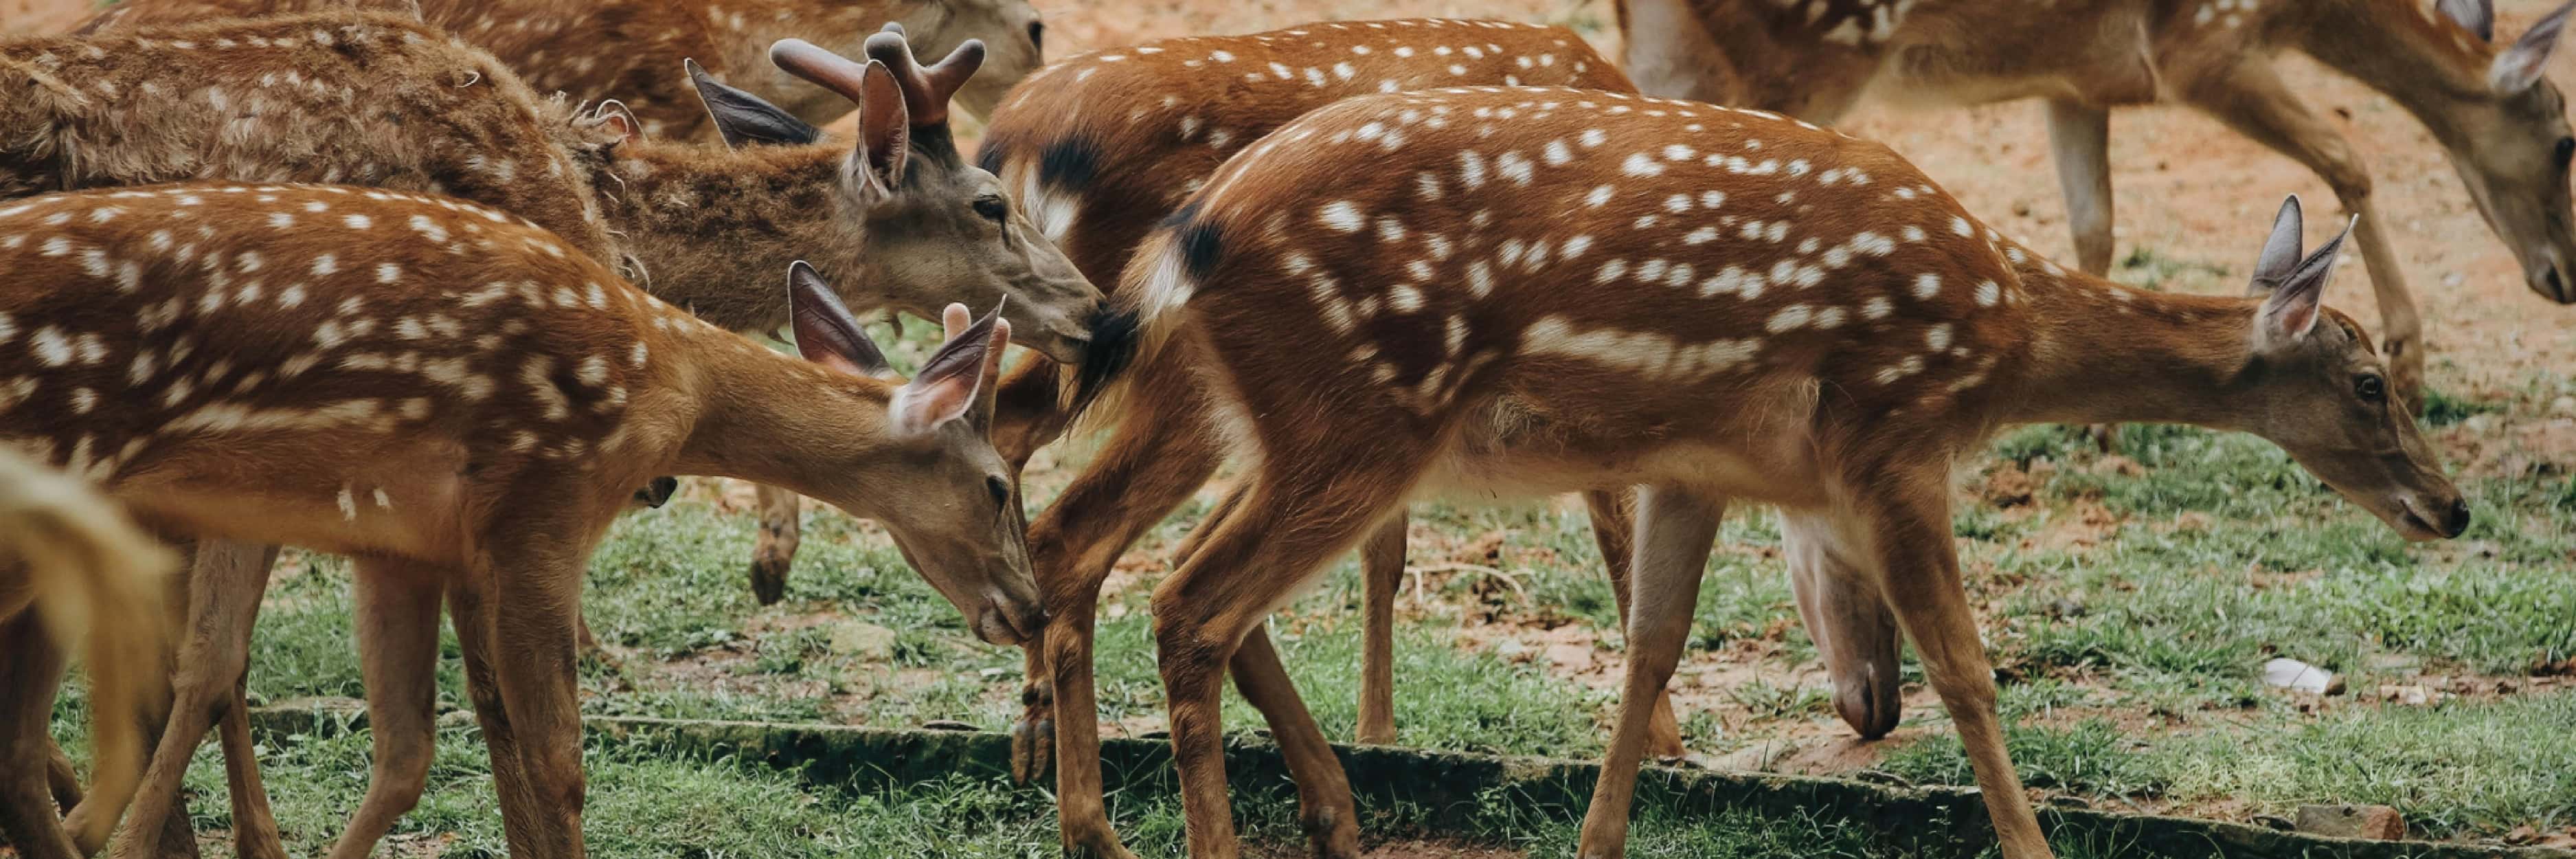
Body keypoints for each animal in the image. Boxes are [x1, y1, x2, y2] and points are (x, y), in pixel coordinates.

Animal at [1033, 85, 2470, 859]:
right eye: (2371, 382)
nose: (2451, 507)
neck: (2008, 336)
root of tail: (1195, 224)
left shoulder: (1704, 464)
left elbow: (1650, 648)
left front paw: (1600, 837)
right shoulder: (1892, 437)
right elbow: (1968, 669)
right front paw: (2032, 839)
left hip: (1261, 417)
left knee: (1104, 548)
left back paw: (1123, 819)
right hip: (1357, 417)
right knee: (1191, 601)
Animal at [1618, 0, 2576, 411]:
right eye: (2569, 139)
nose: (2564, 276)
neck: (2298, 16)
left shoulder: (2076, 82)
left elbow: (2095, 226)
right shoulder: (2206, 46)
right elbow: (2352, 161)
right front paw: (2413, 358)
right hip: (1801, 58)